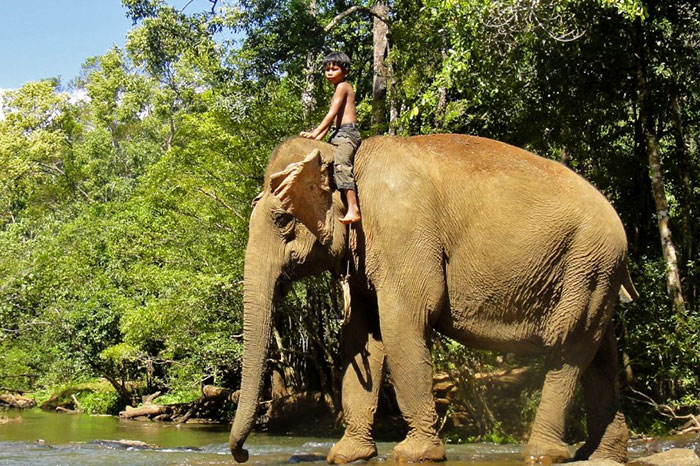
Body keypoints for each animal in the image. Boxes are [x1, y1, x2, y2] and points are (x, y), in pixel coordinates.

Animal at [227, 133, 636, 464]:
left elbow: (403, 323)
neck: (346, 160)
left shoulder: (403, 232)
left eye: (282, 220)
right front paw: (346, 456)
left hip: (587, 262)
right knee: (600, 352)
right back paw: (600, 455)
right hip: (594, 272)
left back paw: (544, 455)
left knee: (568, 347)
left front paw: (415, 455)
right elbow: (362, 337)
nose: (244, 454)